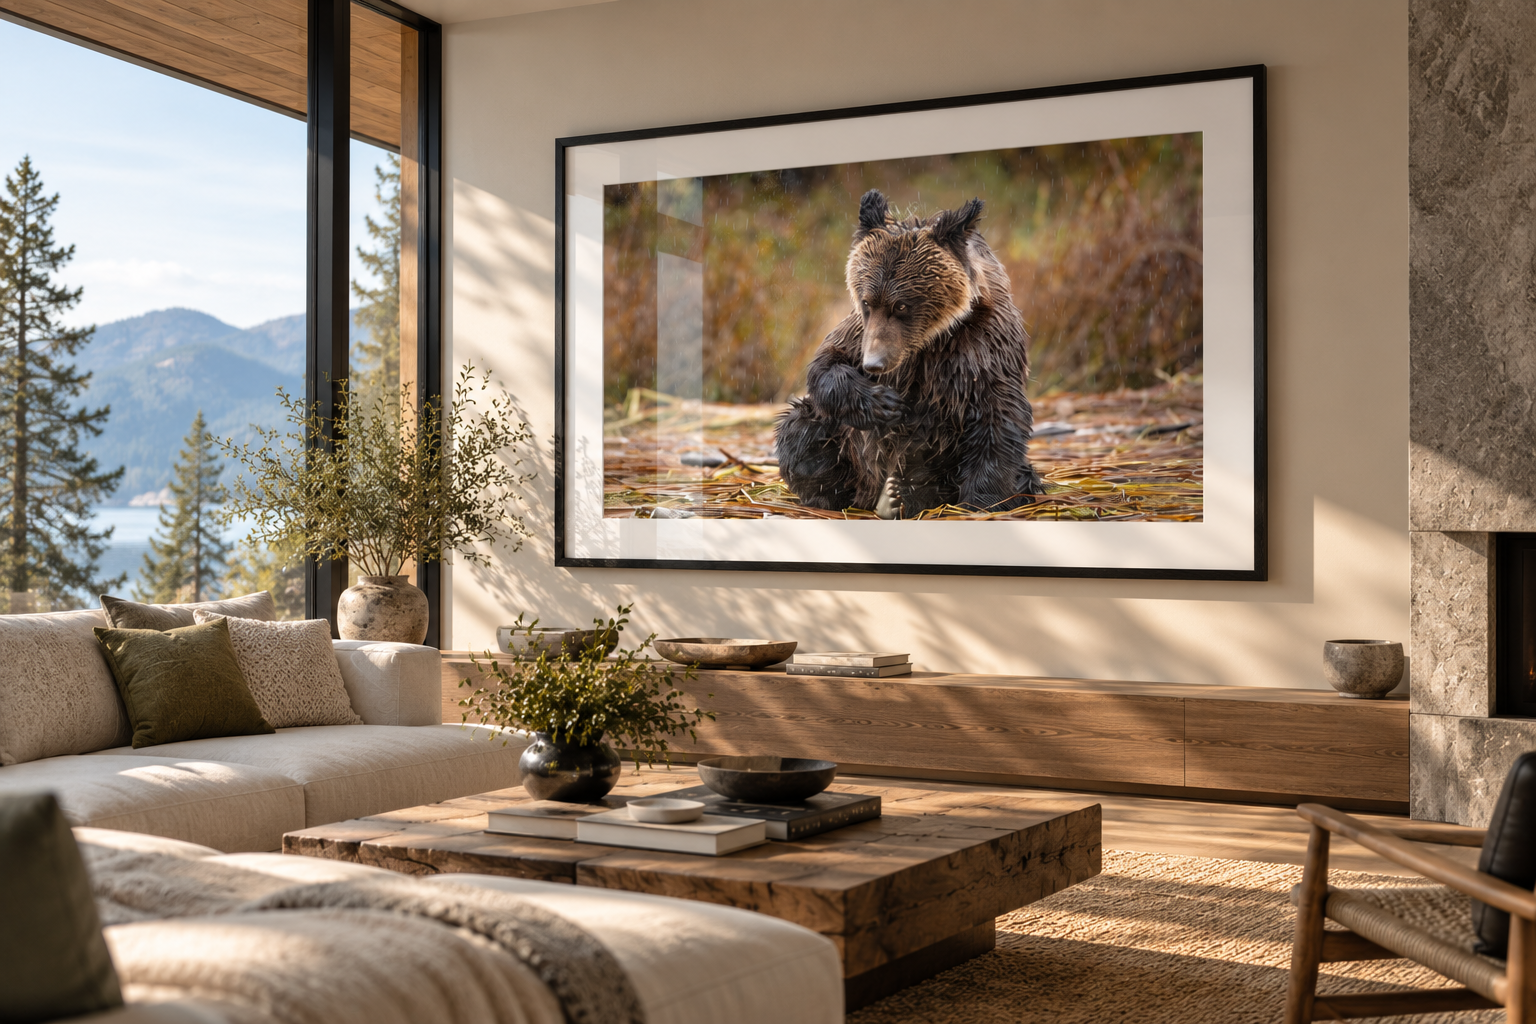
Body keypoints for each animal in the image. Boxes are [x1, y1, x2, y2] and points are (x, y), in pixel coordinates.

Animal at [774, 189, 1046, 519]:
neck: (929, 341)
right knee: (801, 428)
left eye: (901, 305)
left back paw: (900, 496)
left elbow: (998, 415)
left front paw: (982, 500)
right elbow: (826, 364)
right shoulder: (859, 334)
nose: (874, 364)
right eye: (867, 301)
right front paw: (883, 403)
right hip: (850, 454)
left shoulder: (984, 347)